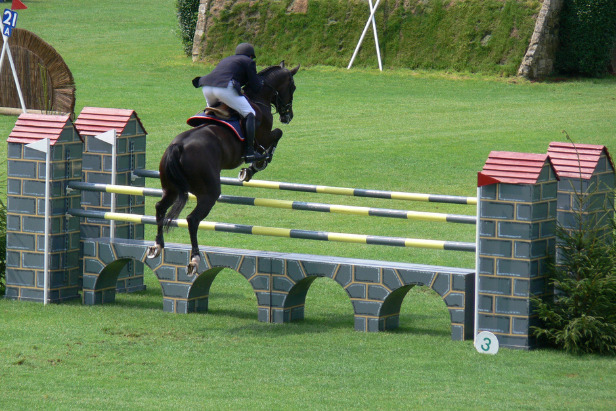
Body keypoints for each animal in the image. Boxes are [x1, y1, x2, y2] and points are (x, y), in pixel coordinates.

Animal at [145, 62, 298, 276]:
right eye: (292, 87)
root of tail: (178, 146)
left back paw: (158, 246)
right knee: (192, 219)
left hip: (171, 188)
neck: (258, 98)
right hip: (209, 192)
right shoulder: (264, 135)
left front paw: (253, 167)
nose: (288, 116)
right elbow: (276, 136)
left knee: (160, 207)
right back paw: (194, 259)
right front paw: (255, 165)